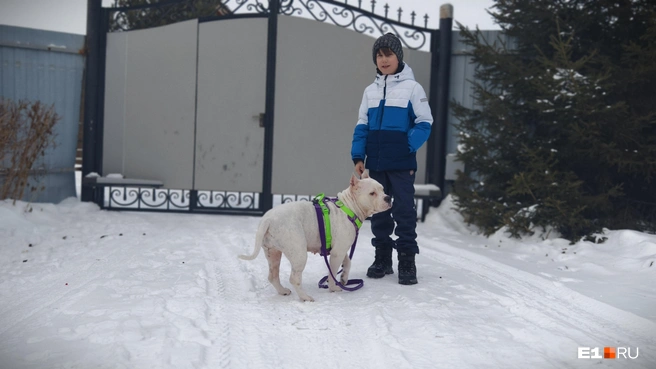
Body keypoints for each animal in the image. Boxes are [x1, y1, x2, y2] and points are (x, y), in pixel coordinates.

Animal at [242, 171, 392, 300]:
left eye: (383, 189)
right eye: (372, 193)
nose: (388, 197)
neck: (349, 207)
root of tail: (268, 219)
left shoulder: (341, 248)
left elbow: (348, 262)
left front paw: (344, 278)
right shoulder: (337, 252)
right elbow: (332, 273)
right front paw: (333, 287)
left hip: (273, 253)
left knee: (273, 276)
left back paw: (283, 291)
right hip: (299, 253)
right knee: (294, 278)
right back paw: (305, 297)